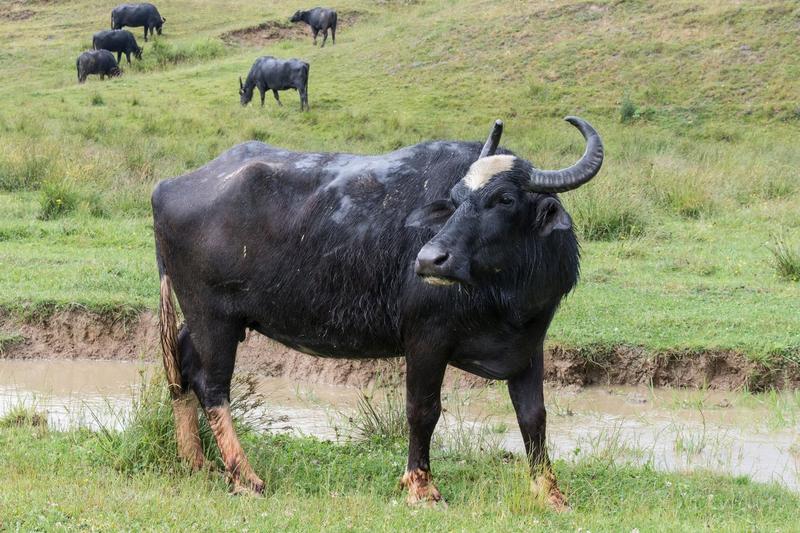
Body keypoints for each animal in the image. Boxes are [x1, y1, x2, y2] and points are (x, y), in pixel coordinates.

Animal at [155, 116, 608, 508]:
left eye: (505, 199)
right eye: (457, 200)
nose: (429, 259)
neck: (504, 297)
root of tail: (167, 186)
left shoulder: (529, 345)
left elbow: (534, 417)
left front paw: (550, 491)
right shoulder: (426, 339)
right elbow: (423, 410)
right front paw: (421, 488)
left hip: (210, 320)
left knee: (182, 368)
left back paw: (194, 460)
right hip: (211, 315)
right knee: (212, 385)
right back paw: (245, 476)